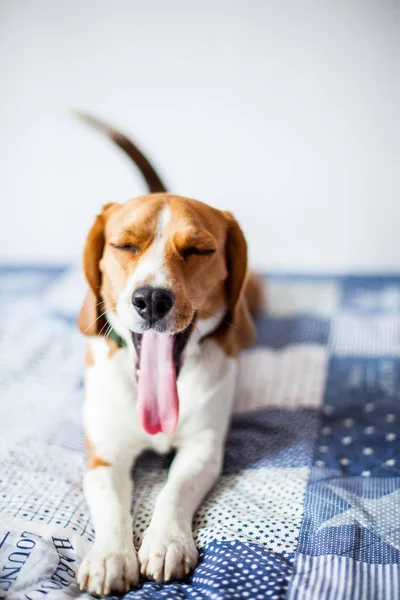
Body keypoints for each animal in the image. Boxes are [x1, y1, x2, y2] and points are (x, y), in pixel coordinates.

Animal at [76, 113, 262, 596]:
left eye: (199, 249)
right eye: (124, 245)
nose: (151, 299)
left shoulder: (204, 448)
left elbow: (174, 488)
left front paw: (166, 540)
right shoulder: (104, 456)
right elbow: (110, 504)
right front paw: (110, 555)